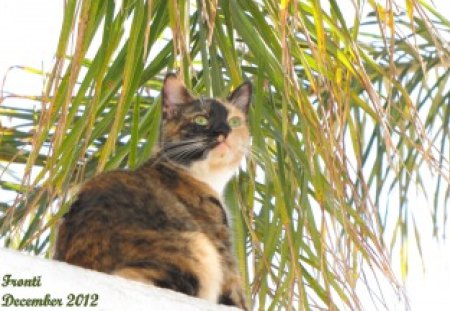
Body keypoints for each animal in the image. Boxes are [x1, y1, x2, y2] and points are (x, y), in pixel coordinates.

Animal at [54, 74, 251, 310]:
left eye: (235, 121)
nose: (225, 132)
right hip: (197, 249)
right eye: (201, 120)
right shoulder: (220, 244)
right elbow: (237, 296)